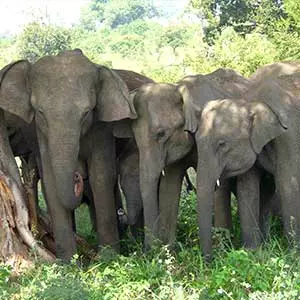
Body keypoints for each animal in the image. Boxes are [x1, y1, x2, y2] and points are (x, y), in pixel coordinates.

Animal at [0, 49, 136, 260]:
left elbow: (101, 177)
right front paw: (68, 262)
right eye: (40, 112)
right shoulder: (40, 135)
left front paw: (108, 258)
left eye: (87, 112)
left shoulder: (102, 128)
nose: (77, 176)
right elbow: (50, 182)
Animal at [184, 72, 300, 258]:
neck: (250, 103)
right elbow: (247, 188)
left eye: (222, 144)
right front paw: (251, 252)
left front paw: (292, 255)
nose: (208, 261)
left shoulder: (290, 137)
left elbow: (288, 184)